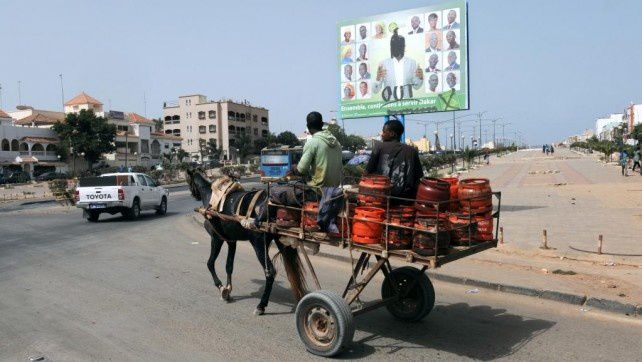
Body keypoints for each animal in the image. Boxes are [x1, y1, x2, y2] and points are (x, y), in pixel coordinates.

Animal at [184, 168, 306, 316]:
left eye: (188, 181)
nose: (193, 195)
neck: (211, 196)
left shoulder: (216, 239)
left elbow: (210, 263)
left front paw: (222, 288)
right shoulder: (231, 241)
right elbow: (229, 265)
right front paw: (228, 289)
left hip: (258, 243)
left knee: (270, 272)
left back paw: (261, 305)